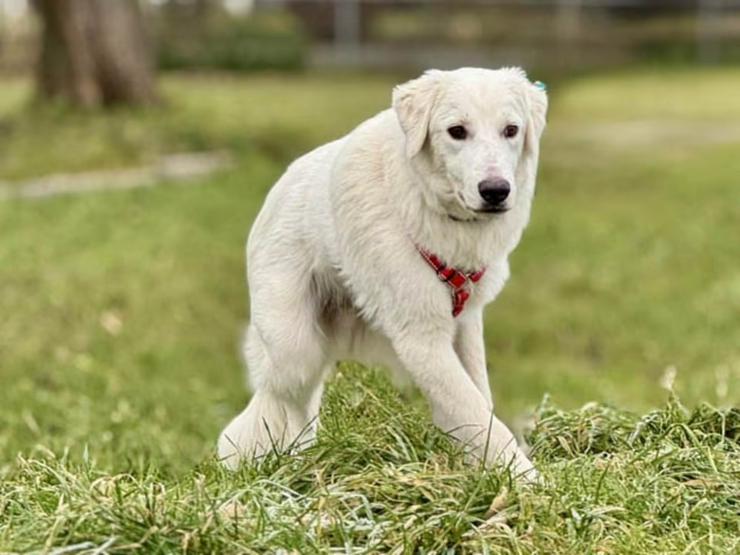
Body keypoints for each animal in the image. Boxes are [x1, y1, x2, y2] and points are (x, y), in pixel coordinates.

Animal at [217, 68, 548, 478]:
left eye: (511, 130)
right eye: (456, 131)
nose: (496, 191)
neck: (429, 208)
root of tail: (278, 188)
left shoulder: (465, 323)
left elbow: (476, 401)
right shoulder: (421, 337)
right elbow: (474, 409)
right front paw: (527, 481)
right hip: (295, 349)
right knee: (281, 400)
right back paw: (276, 463)